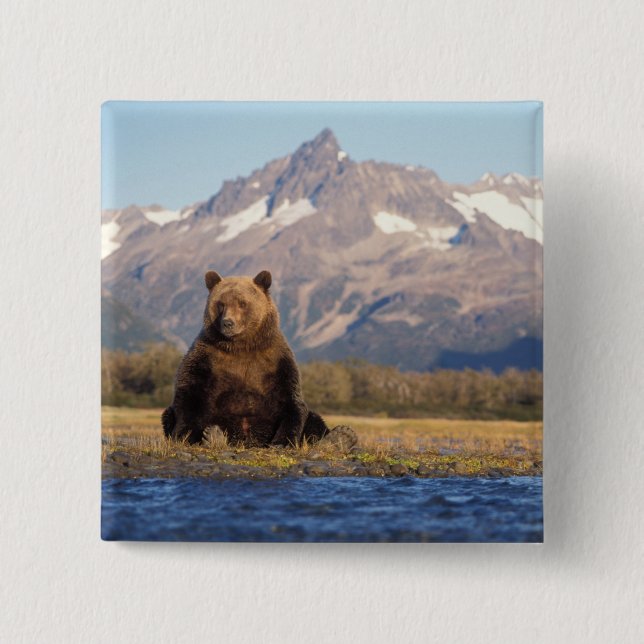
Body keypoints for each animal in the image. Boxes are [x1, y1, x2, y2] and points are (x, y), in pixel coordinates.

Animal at [162, 269, 356, 450]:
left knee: (314, 419)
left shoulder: (275, 360)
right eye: (221, 304)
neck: (241, 346)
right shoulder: (206, 357)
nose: (228, 323)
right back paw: (214, 436)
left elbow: (290, 400)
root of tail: (249, 442)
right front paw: (187, 437)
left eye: (242, 303)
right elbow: (190, 395)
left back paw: (341, 437)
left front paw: (282, 442)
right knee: (168, 414)